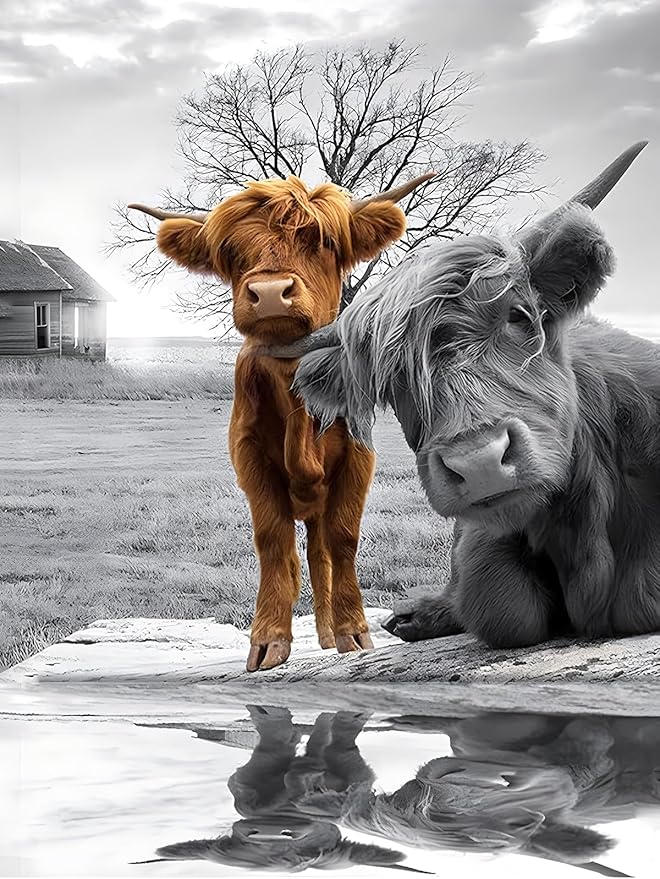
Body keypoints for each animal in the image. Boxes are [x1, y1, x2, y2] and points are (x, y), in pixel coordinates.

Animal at [128, 172, 432, 671]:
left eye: (323, 241)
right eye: (230, 252)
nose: (270, 293)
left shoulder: (359, 458)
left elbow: (344, 540)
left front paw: (354, 632)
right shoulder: (250, 459)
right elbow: (273, 543)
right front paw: (269, 638)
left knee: (322, 552)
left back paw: (329, 634)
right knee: (298, 556)